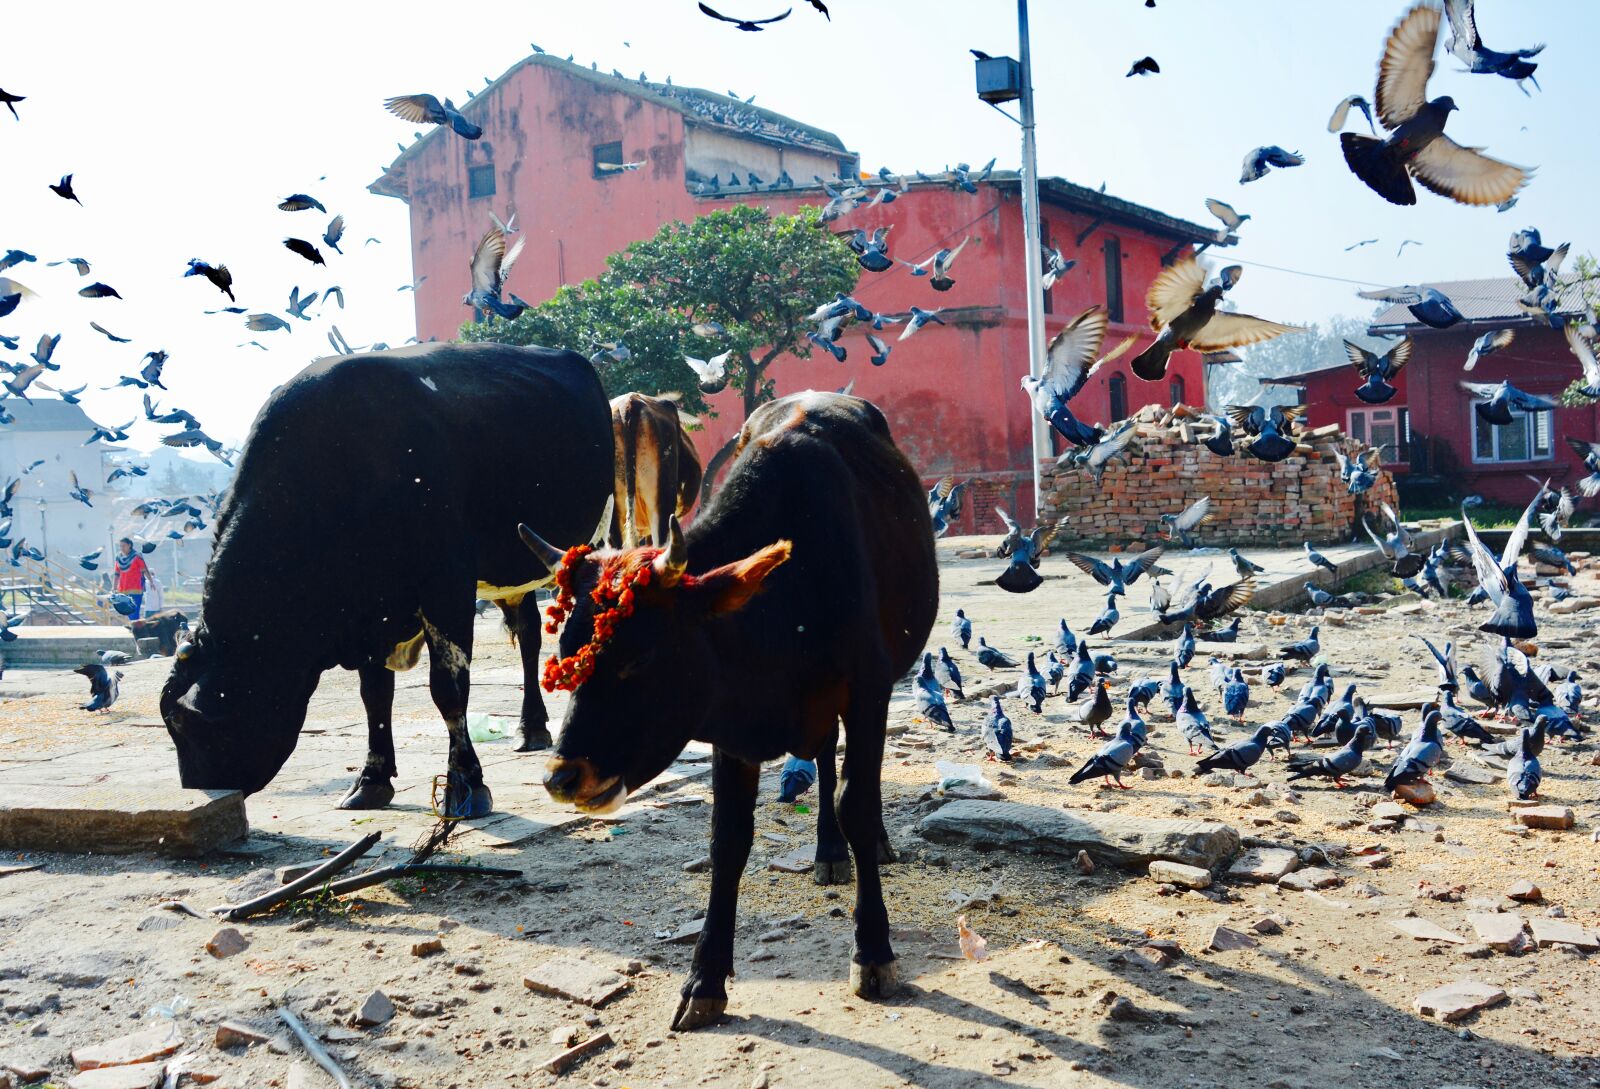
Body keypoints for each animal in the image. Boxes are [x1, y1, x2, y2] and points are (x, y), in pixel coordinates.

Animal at [161, 343, 613, 819]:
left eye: (181, 720)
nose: (196, 788)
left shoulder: (446, 584)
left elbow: (448, 689)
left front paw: (465, 785)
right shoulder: (369, 612)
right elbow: (375, 695)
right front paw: (371, 780)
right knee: (527, 633)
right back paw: (531, 729)